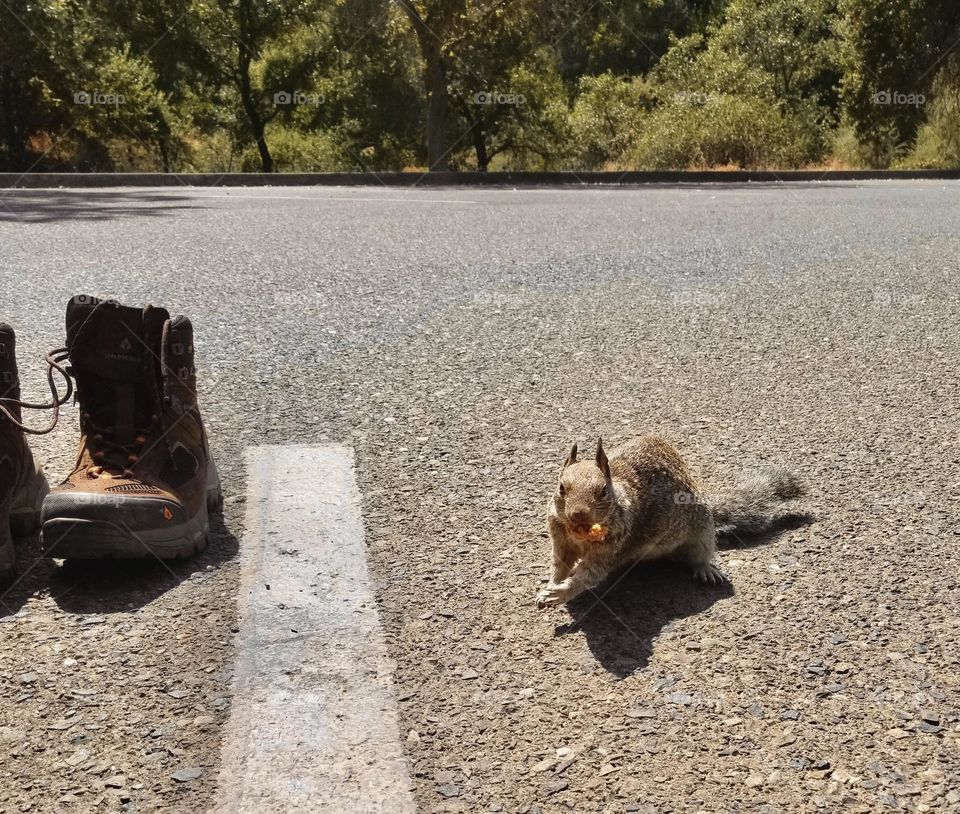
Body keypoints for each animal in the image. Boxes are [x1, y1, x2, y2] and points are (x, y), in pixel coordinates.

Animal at [536, 435, 805, 609]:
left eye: (603, 491)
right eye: (561, 487)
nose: (578, 514)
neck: (578, 533)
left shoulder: (611, 547)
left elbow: (589, 575)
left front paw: (560, 593)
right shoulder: (560, 540)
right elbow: (560, 566)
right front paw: (551, 585)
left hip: (702, 533)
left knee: (699, 554)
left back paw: (705, 569)